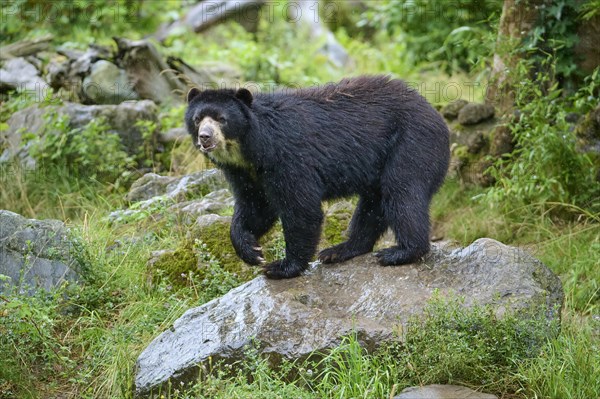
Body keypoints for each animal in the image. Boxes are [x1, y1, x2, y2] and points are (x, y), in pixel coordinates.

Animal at [185, 76, 448, 282]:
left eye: (221, 118)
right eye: (198, 119)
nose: (205, 137)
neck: (251, 150)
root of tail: (438, 116)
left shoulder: (288, 158)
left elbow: (301, 209)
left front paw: (282, 266)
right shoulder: (244, 173)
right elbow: (255, 207)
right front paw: (251, 250)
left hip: (411, 144)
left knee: (401, 192)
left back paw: (400, 252)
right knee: (373, 204)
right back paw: (340, 250)